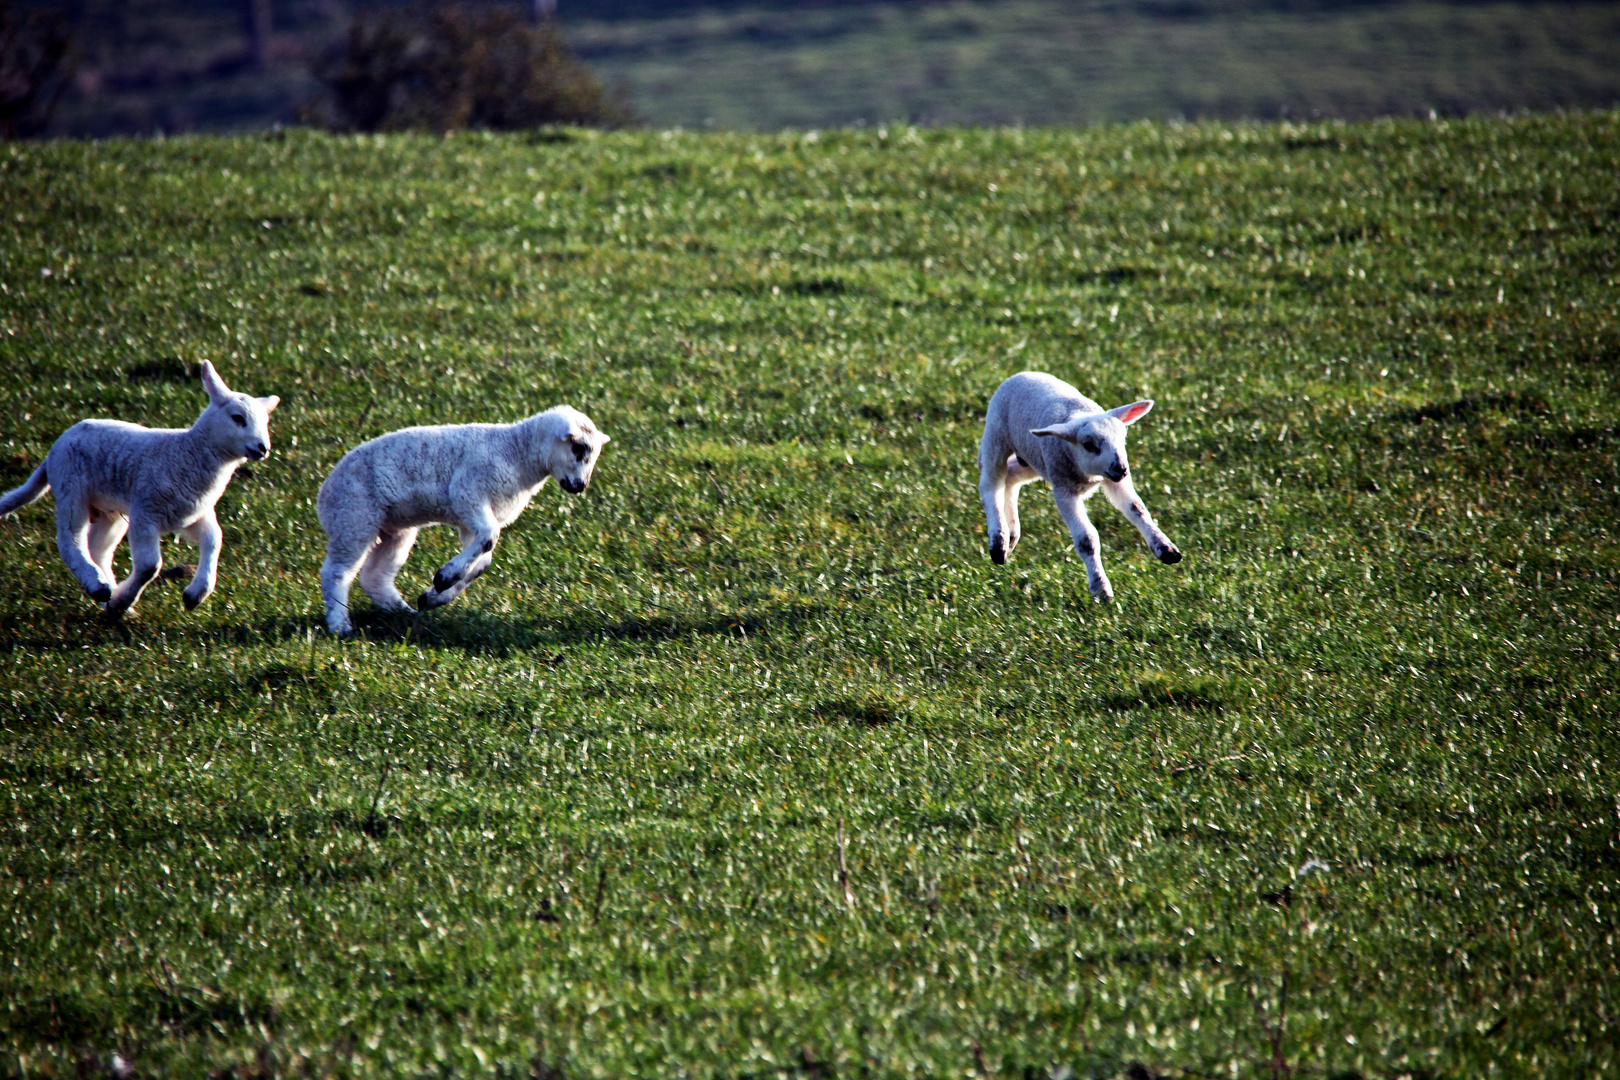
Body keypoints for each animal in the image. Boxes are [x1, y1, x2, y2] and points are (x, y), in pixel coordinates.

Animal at [0, 361, 281, 615]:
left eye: (265, 422)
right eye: (237, 418)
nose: (263, 448)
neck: (188, 452)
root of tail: (53, 451)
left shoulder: (193, 513)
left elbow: (214, 539)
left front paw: (194, 595)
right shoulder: (146, 513)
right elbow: (149, 565)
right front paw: (124, 600)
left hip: (110, 511)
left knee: (98, 547)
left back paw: (111, 600)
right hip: (71, 487)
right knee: (70, 540)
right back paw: (99, 588)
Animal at [319, 404, 609, 634]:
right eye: (579, 448)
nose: (581, 486)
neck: (516, 453)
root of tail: (324, 495)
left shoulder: (472, 516)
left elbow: (483, 559)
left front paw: (435, 595)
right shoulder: (467, 492)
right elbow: (490, 537)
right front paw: (445, 578)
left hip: (393, 528)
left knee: (374, 576)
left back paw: (403, 611)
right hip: (354, 515)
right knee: (337, 571)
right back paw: (340, 625)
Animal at [978, 374, 1185, 605]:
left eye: (1123, 438)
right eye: (1089, 445)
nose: (1121, 468)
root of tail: (1022, 373)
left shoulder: (1115, 481)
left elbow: (1137, 509)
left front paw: (1166, 549)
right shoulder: (1063, 489)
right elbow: (1087, 539)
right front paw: (1101, 589)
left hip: (1031, 458)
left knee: (1011, 476)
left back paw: (1012, 535)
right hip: (996, 436)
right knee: (991, 484)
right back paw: (999, 541)